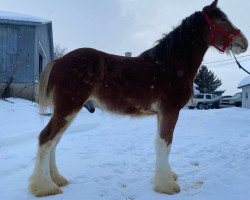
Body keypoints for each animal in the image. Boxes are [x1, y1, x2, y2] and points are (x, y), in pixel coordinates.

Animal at [28, 0, 246, 197]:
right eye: (222, 19)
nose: (244, 43)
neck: (170, 65)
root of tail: (58, 61)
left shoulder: (162, 114)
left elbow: (160, 144)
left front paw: (168, 176)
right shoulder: (170, 111)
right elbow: (165, 144)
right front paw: (167, 185)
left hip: (68, 110)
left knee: (54, 141)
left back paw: (57, 180)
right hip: (68, 108)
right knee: (46, 138)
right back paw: (45, 187)